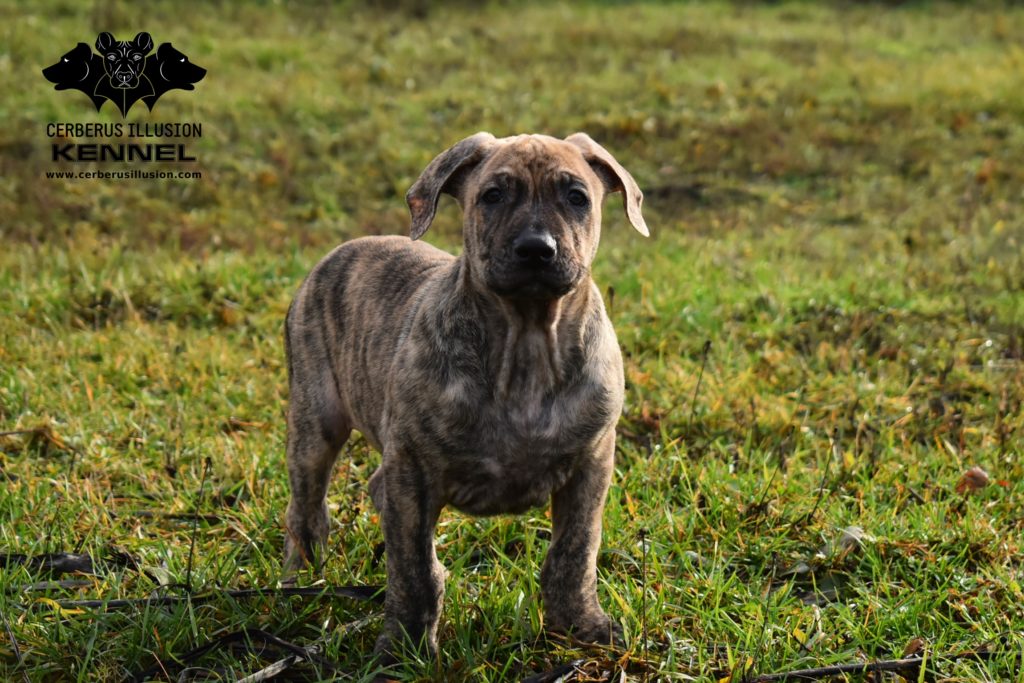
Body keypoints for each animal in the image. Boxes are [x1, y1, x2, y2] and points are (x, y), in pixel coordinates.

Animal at [280, 132, 647, 663]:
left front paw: (581, 626)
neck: (528, 342)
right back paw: (301, 582)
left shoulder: (591, 463)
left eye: (577, 197)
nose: (536, 249)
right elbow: (414, 569)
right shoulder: (411, 472)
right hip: (315, 423)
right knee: (307, 509)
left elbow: (576, 551)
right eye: (492, 196)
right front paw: (404, 648)